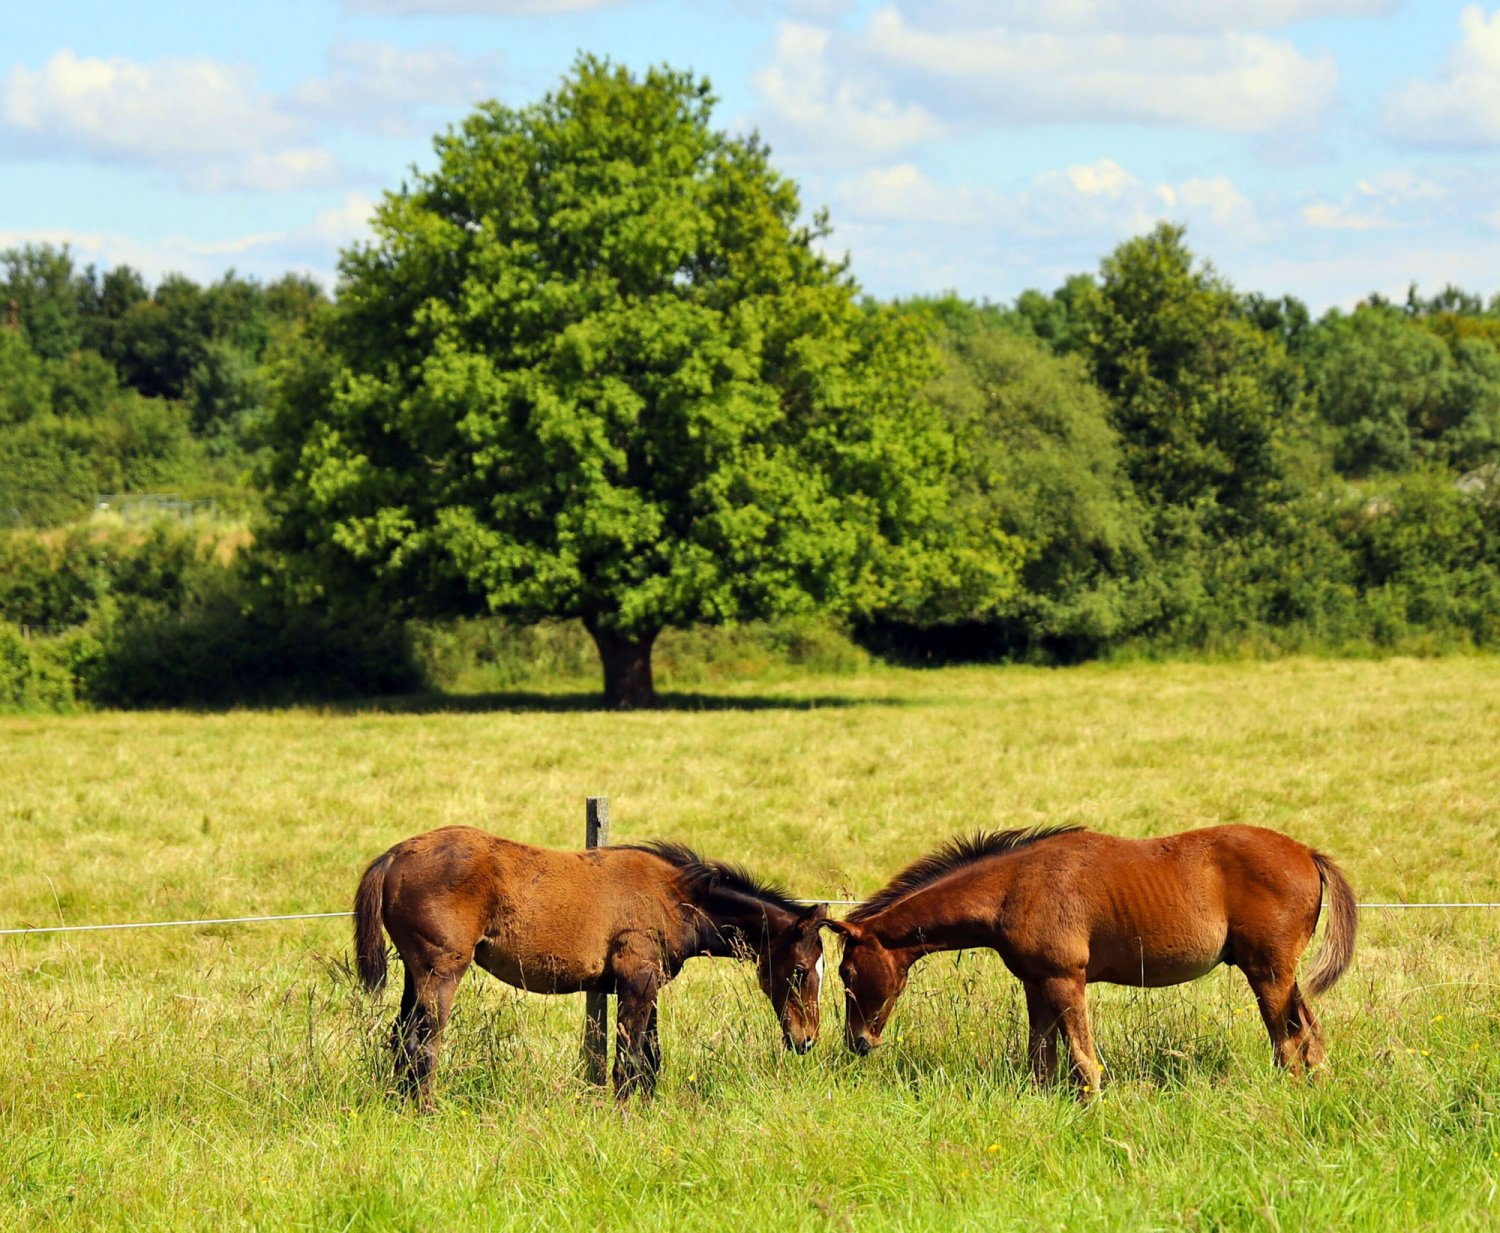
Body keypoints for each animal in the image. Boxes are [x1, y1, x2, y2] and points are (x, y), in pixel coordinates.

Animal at [354, 826, 827, 1103]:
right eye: (800, 971)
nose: (805, 1040)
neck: (674, 897)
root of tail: (395, 855)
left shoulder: (647, 984)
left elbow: (651, 1057)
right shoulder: (637, 979)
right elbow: (629, 1058)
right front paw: (623, 1115)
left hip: (414, 976)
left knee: (400, 1039)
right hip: (441, 974)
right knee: (421, 1044)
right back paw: (426, 1113)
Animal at [824, 824, 1357, 1097]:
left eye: (847, 973)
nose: (859, 1042)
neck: (1011, 888)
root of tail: (1307, 853)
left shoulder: (1066, 980)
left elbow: (1083, 1061)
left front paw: (1092, 1112)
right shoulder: (1036, 983)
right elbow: (1040, 1059)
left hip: (1267, 973)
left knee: (1287, 1044)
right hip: (1282, 976)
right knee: (1311, 1038)